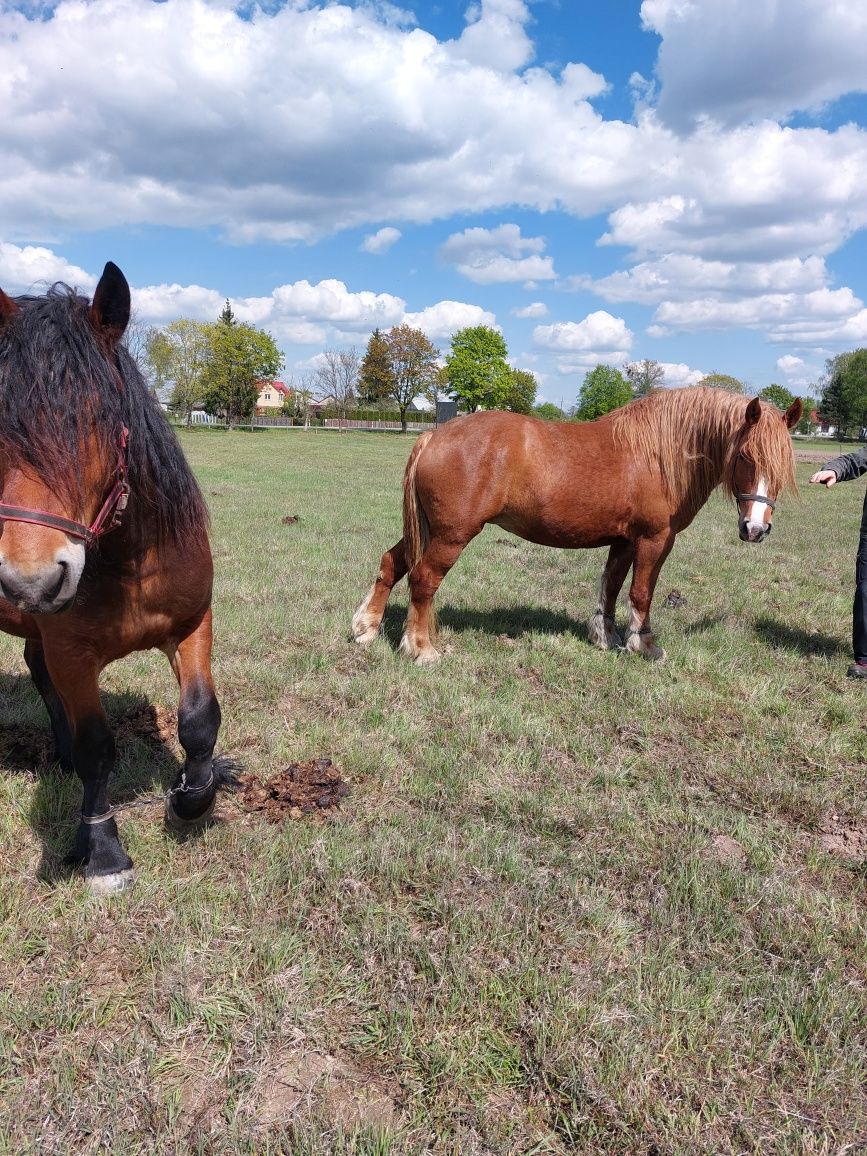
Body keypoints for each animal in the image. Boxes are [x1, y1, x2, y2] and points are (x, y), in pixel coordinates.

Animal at [0, 264, 227, 892]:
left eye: (100, 415)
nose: (30, 582)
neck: (129, 564)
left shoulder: (192, 625)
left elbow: (199, 721)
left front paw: (190, 800)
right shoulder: (73, 654)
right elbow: (97, 749)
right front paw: (101, 848)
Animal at [353, 383, 799, 665]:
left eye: (782, 463)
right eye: (745, 456)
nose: (755, 529)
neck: (657, 454)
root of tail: (434, 435)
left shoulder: (624, 540)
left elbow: (612, 586)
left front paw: (606, 637)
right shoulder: (655, 540)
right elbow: (641, 593)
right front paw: (644, 647)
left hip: (427, 530)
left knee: (392, 563)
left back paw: (366, 629)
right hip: (451, 535)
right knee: (424, 579)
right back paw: (421, 648)